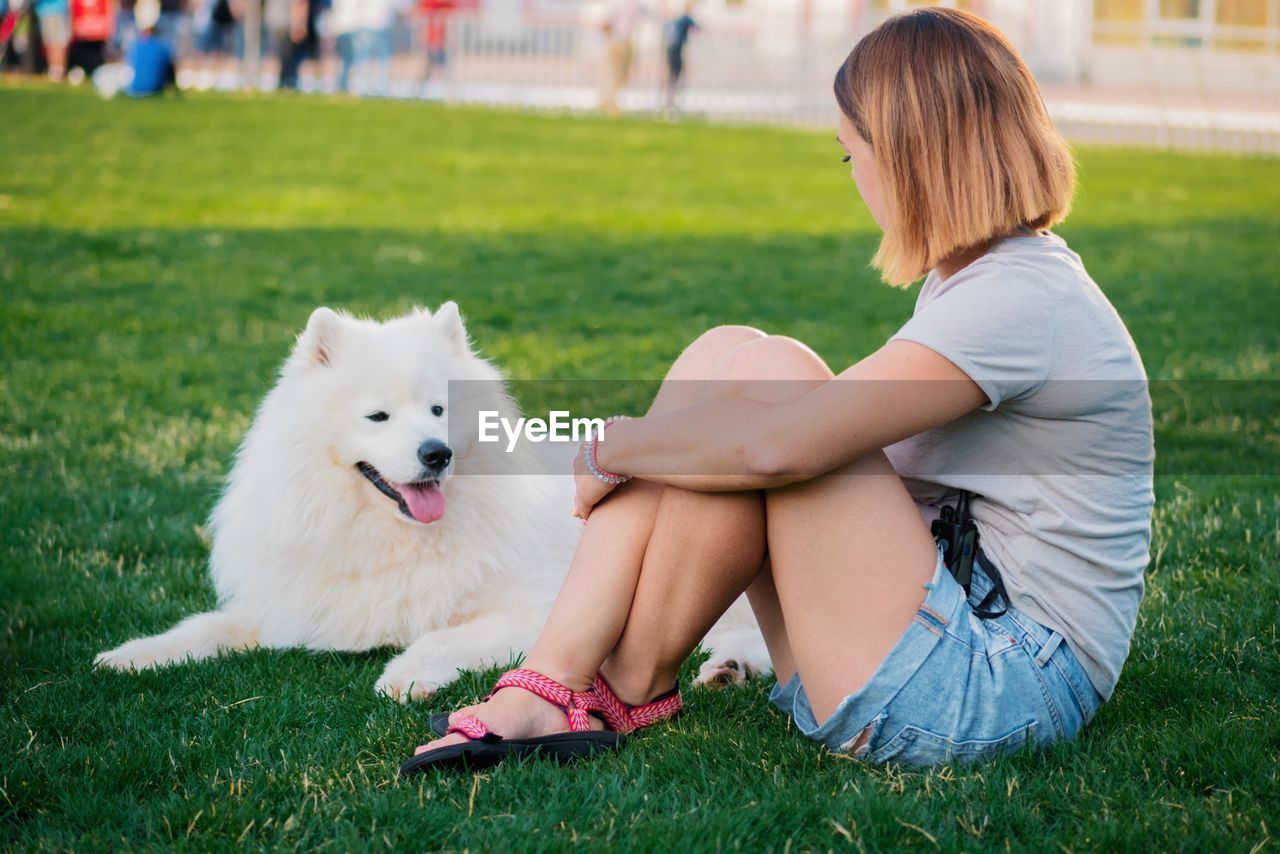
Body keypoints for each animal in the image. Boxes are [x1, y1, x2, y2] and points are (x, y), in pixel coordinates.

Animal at [97, 303, 768, 696]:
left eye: (439, 410)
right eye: (378, 416)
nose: (436, 454)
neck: (392, 539)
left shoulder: (536, 608)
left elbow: (441, 638)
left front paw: (405, 675)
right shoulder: (297, 605)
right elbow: (203, 628)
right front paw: (130, 656)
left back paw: (730, 669)